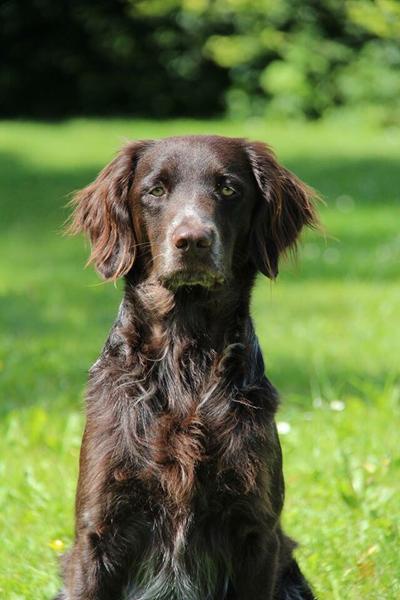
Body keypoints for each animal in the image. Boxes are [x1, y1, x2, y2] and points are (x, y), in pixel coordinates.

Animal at [55, 137, 318, 600]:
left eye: (229, 189)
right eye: (155, 190)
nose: (192, 240)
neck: (185, 359)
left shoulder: (256, 533)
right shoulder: (98, 532)